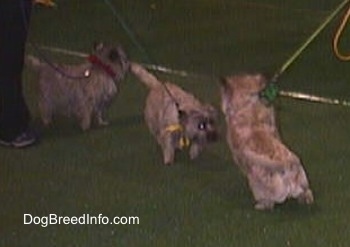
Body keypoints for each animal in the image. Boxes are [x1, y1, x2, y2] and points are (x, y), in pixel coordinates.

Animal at [220, 73, 314, 210]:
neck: (249, 106)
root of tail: (288, 165)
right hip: (303, 182)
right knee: (307, 192)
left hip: (258, 184)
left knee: (268, 200)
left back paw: (261, 205)